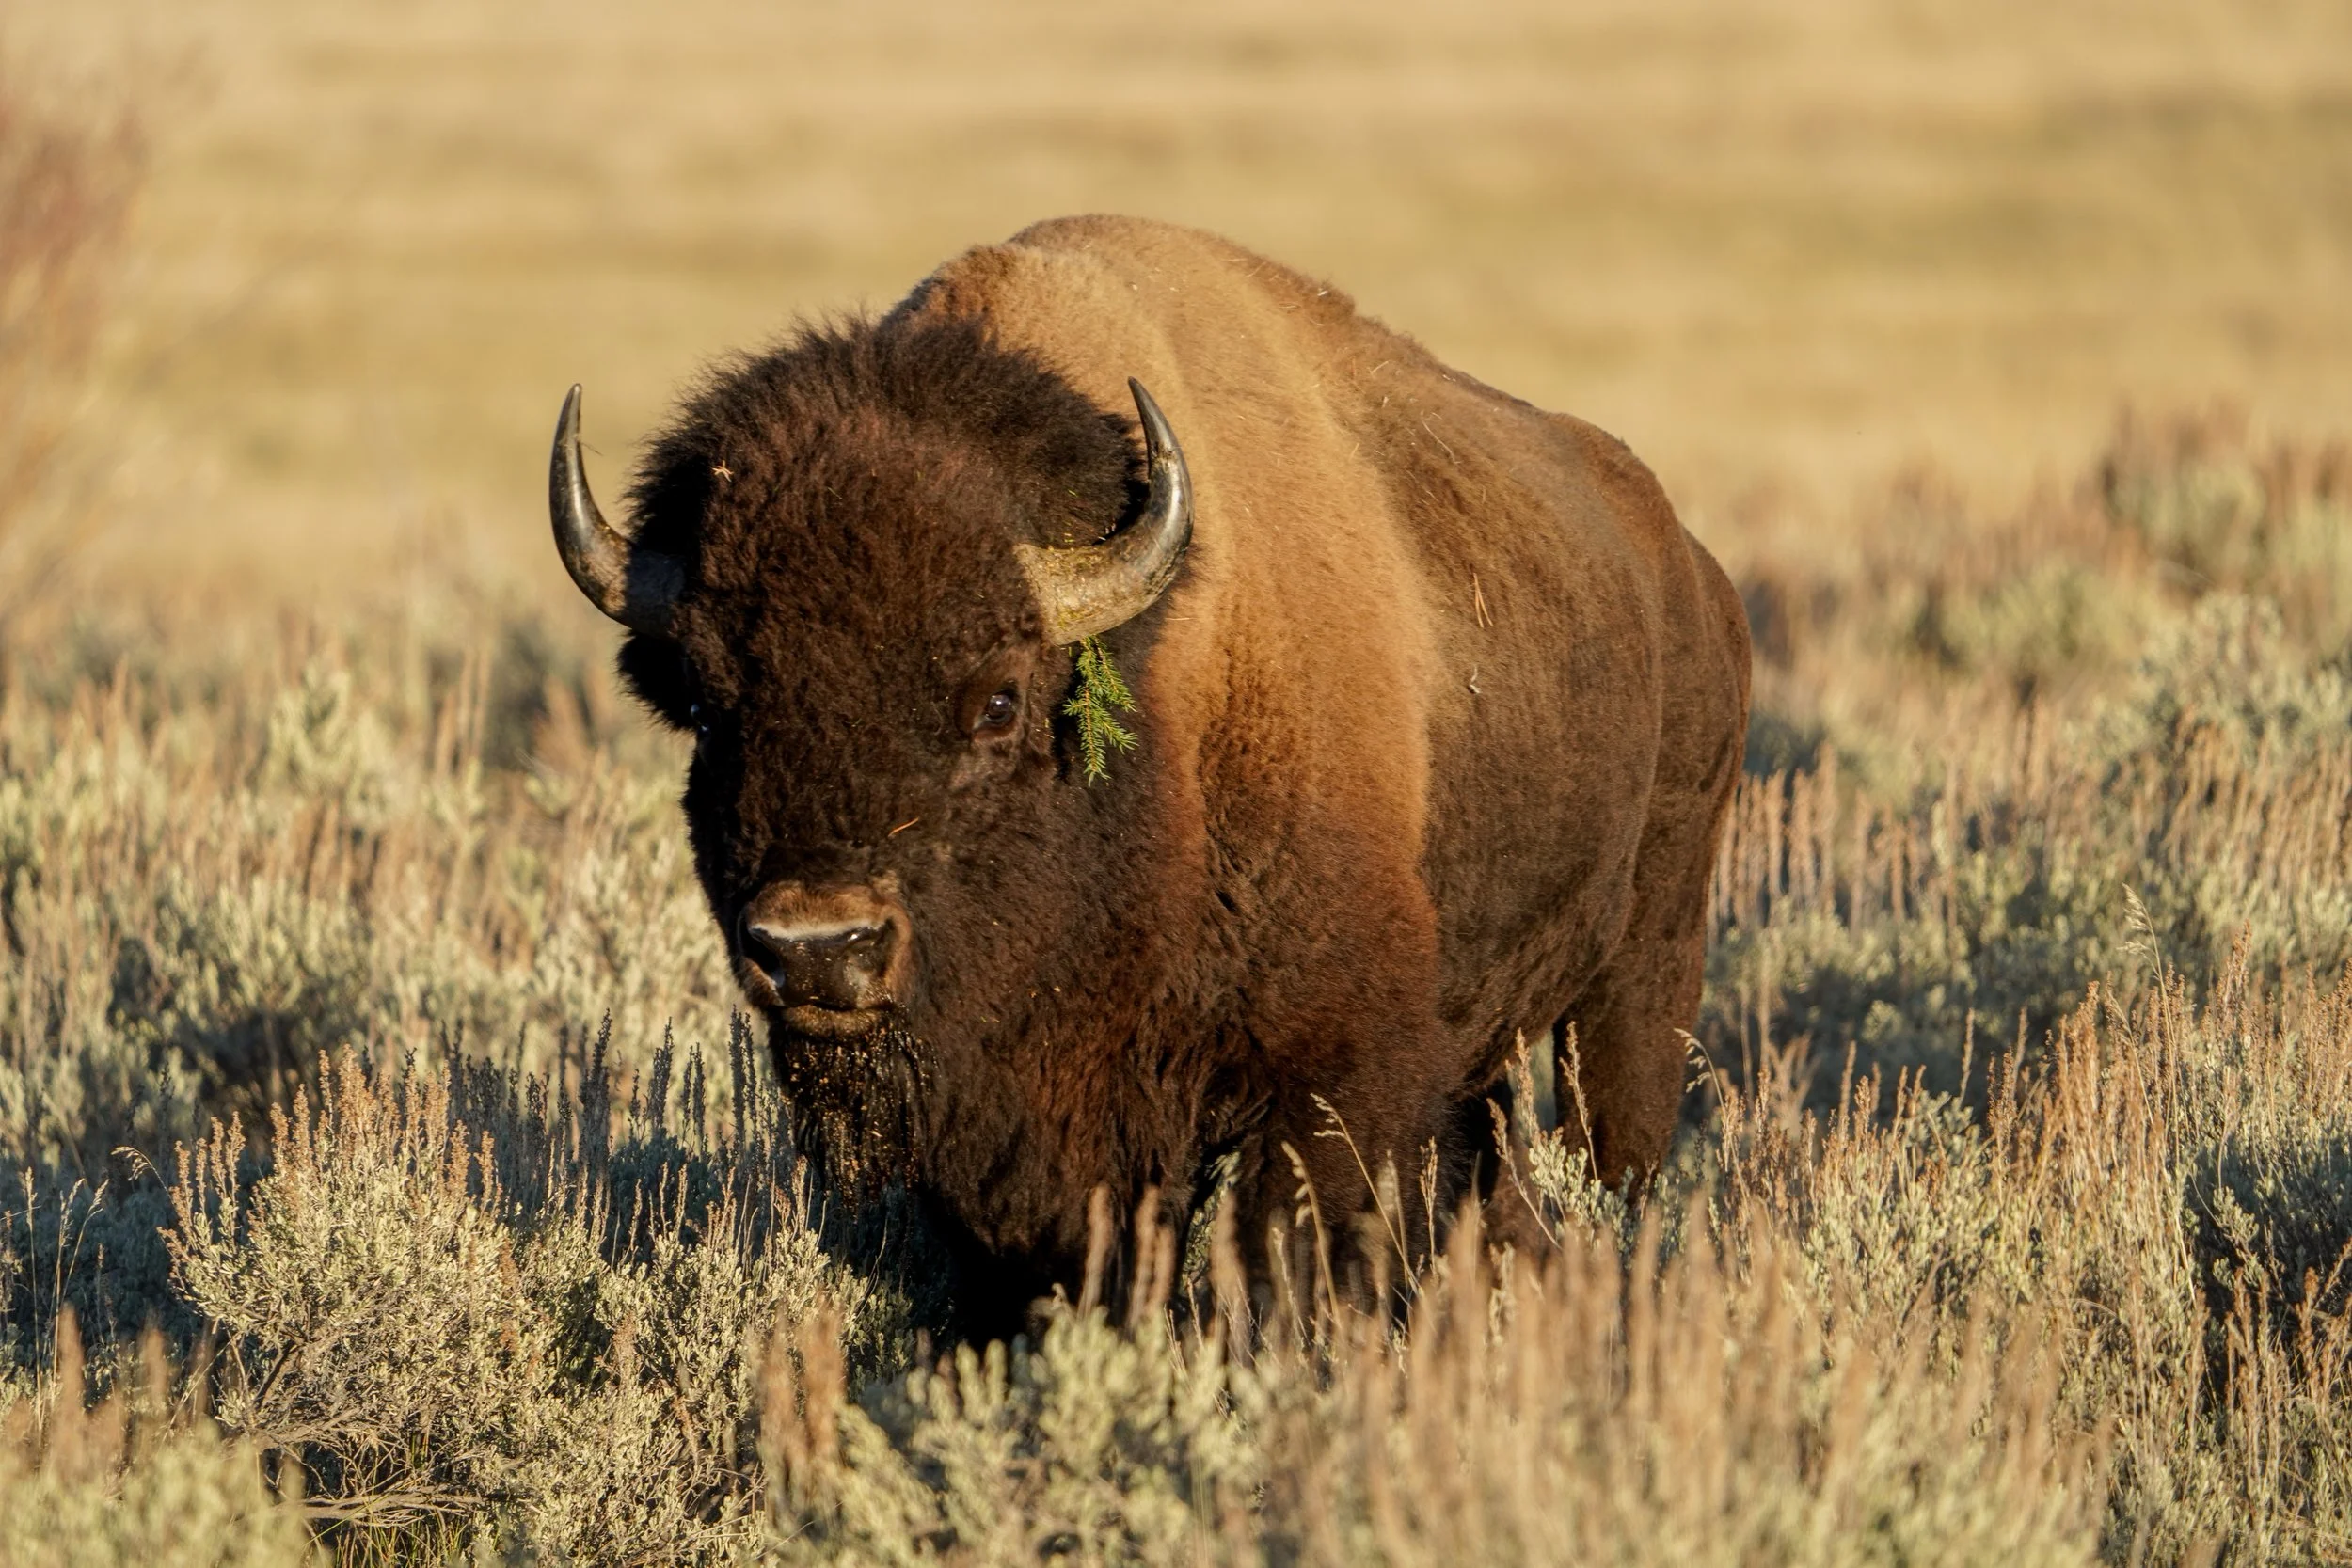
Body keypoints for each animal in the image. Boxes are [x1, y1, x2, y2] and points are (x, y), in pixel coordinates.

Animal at [549, 216, 1749, 1334]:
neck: (1164, 687)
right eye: (708, 704)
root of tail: (1690, 568)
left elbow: (1284, 1255)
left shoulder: (1330, 1074)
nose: (815, 948)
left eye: (999, 698)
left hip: (1640, 974)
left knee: (1611, 1152)